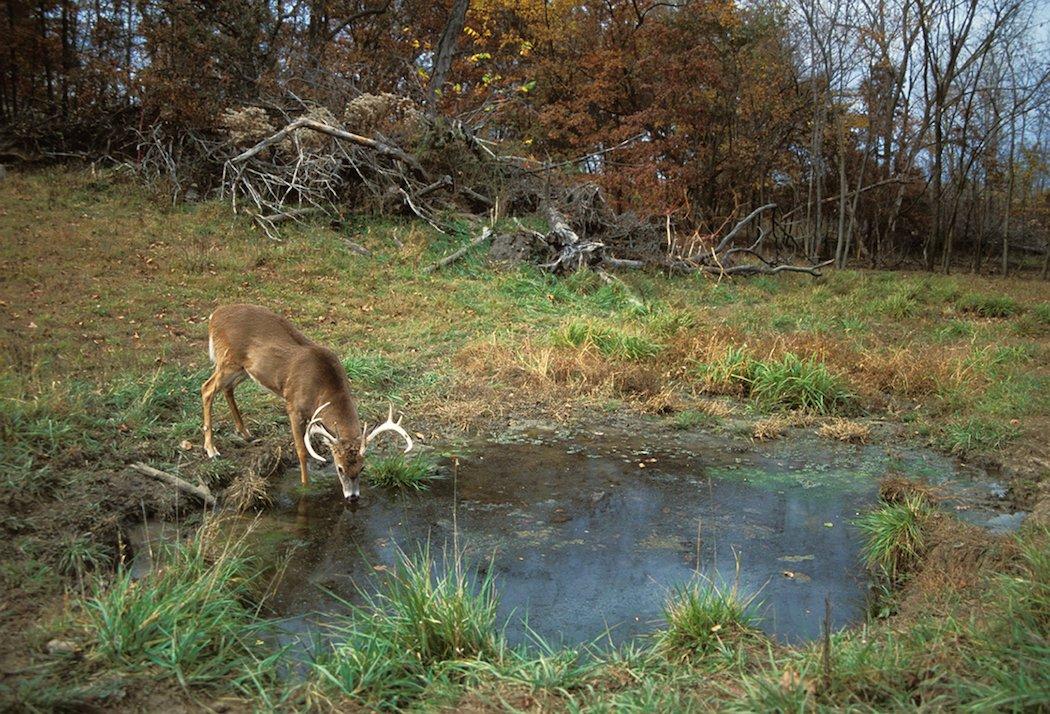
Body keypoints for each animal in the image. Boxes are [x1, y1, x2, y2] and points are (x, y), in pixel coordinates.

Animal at [198, 304, 411, 499]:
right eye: (340, 468)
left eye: (362, 467)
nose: (353, 497)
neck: (324, 388)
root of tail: (214, 315)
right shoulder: (293, 406)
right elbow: (302, 450)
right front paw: (305, 486)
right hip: (228, 360)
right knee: (206, 388)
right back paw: (211, 449)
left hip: (243, 369)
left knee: (227, 389)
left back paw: (246, 434)